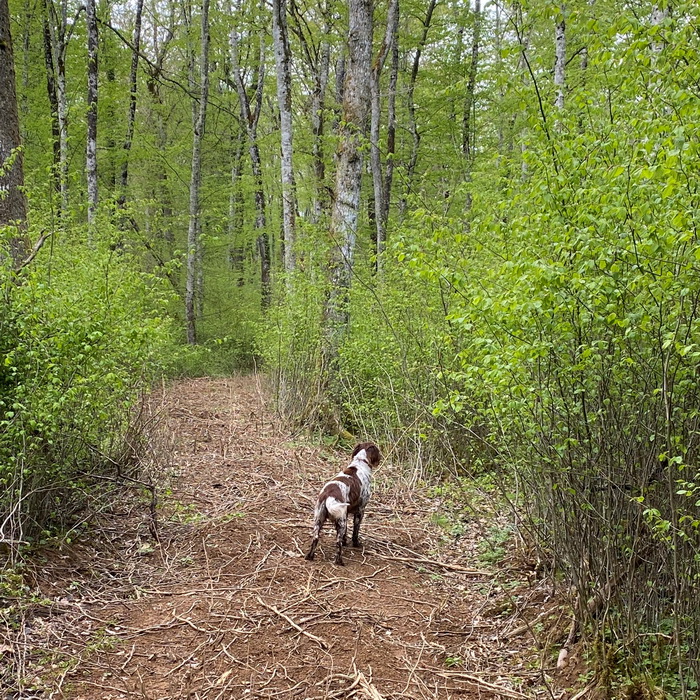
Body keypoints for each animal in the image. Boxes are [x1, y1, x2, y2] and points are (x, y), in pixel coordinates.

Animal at [304, 440, 380, 568]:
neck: (360, 462)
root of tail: (328, 495)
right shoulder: (360, 511)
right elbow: (355, 532)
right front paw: (356, 544)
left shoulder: (346, 512)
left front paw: (346, 542)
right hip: (341, 520)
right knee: (337, 543)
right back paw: (339, 561)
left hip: (319, 518)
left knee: (315, 538)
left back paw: (310, 556)